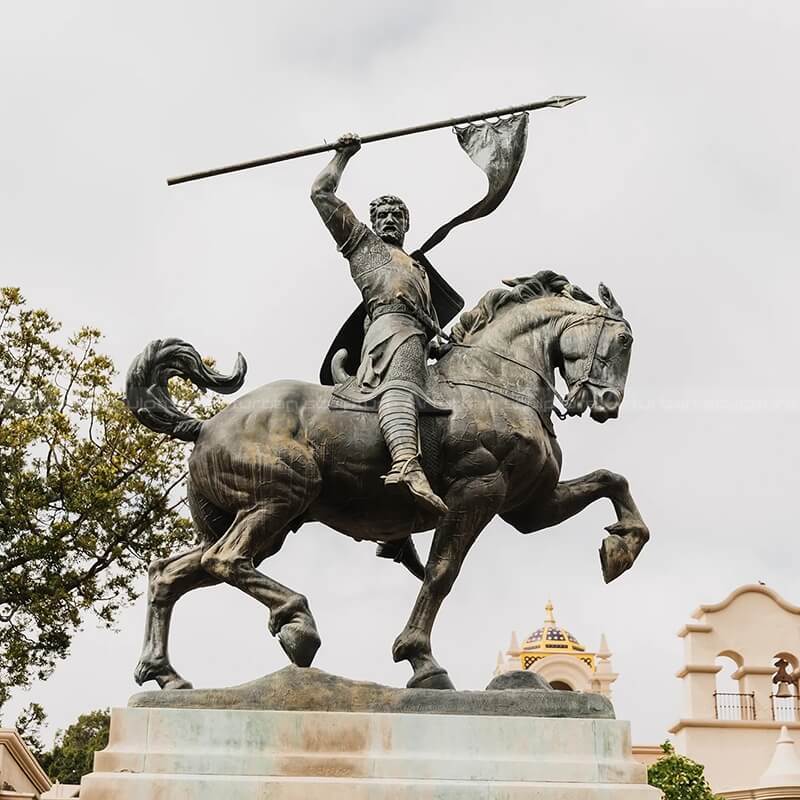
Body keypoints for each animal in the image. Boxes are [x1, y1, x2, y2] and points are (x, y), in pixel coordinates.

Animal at [126, 272, 648, 692]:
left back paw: (166, 675)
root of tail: (203, 426)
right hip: (280, 497)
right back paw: (299, 626)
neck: (493, 382)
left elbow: (612, 480)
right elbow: (441, 573)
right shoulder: (477, 491)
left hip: (255, 522)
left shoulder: (529, 507)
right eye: (624, 340)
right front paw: (421, 660)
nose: (607, 403)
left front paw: (620, 548)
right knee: (225, 559)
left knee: (170, 573)